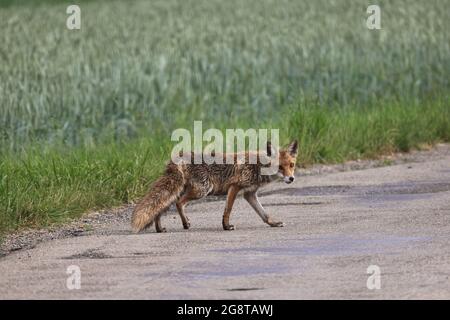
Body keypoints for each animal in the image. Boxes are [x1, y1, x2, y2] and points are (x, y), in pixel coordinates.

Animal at [132, 140, 298, 232]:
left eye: (291, 165)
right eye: (280, 167)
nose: (291, 178)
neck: (257, 165)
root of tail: (179, 156)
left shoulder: (249, 194)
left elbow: (264, 214)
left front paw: (273, 223)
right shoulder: (234, 187)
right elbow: (228, 210)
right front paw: (226, 226)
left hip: (183, 190)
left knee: (160, 209)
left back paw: (160, 229)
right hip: (203, 190)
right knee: (178, 203)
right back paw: (185, 223)